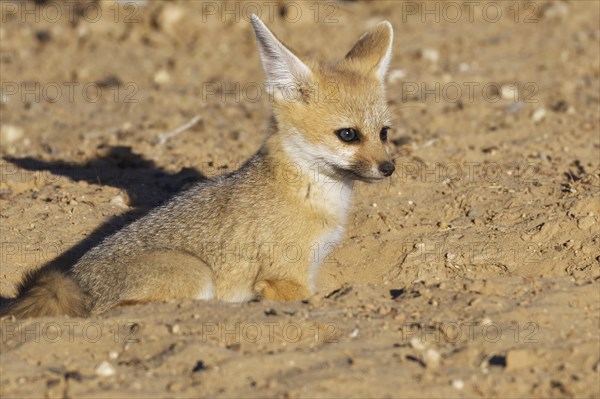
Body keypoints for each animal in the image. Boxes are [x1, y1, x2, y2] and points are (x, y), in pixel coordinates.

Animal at [5, 14, 398, 318]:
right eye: (348, 135)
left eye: (384, 132)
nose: (389, 168)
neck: (311, 194)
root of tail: (76, 281)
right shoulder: (286, 277)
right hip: (198, 276)